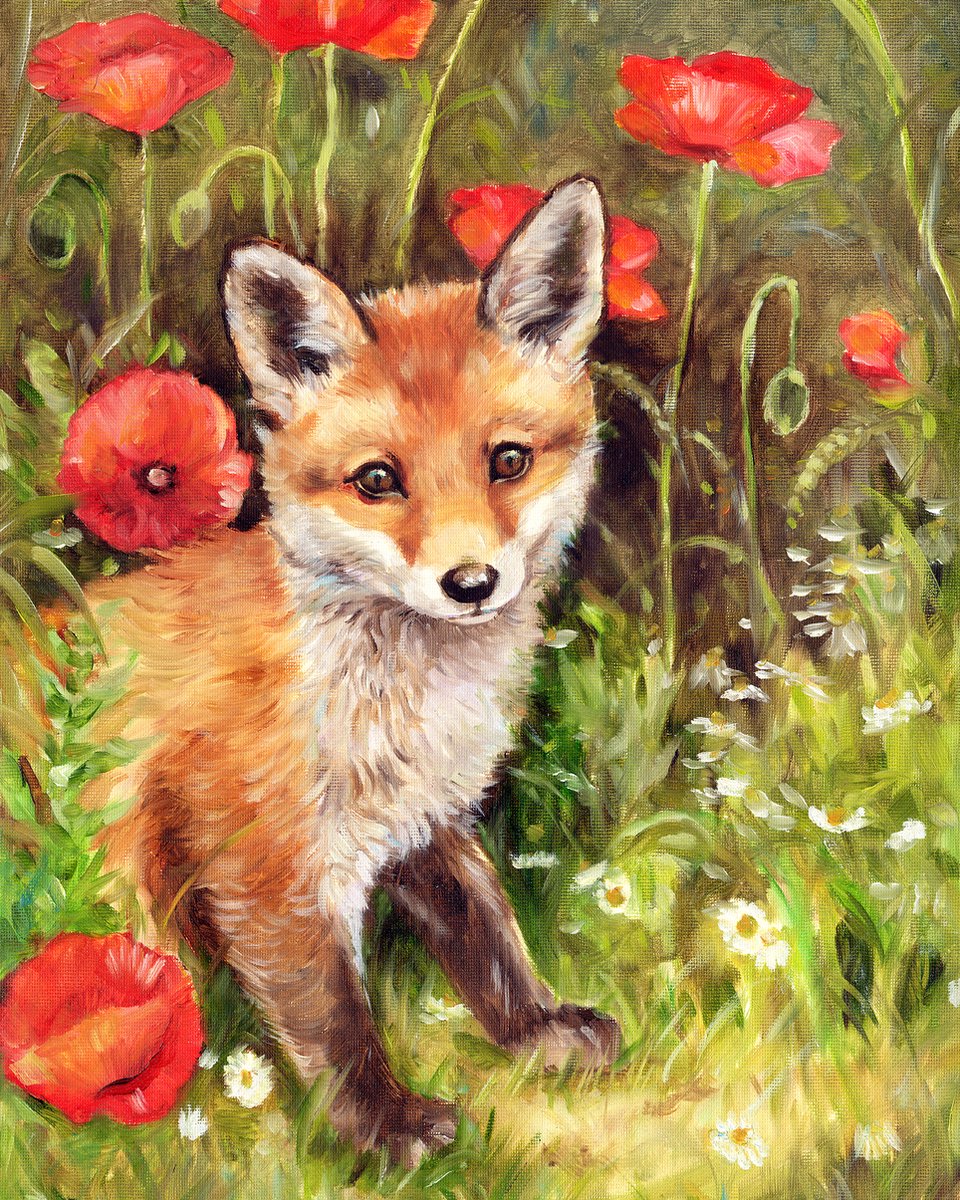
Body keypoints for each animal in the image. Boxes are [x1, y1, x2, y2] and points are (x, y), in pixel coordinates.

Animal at [81, 177, 621, 1165]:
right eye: (377, 480)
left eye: (509, 461)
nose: (471, 583)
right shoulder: (262, 864)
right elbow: (334, 1018)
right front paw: (384, 1129)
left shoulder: (424, 820)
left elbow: (487, 935)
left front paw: (536, 1029)